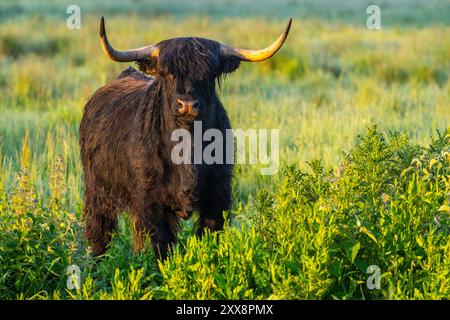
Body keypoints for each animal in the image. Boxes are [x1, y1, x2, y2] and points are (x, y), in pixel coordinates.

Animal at [79, 16, 292, 258]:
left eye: (208, 75)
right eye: (168, 74)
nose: (188, 105)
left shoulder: (218, 196)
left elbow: (208, 237)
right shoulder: (152, 201)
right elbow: (163, 244)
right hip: (97, 193)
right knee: (99, 234)